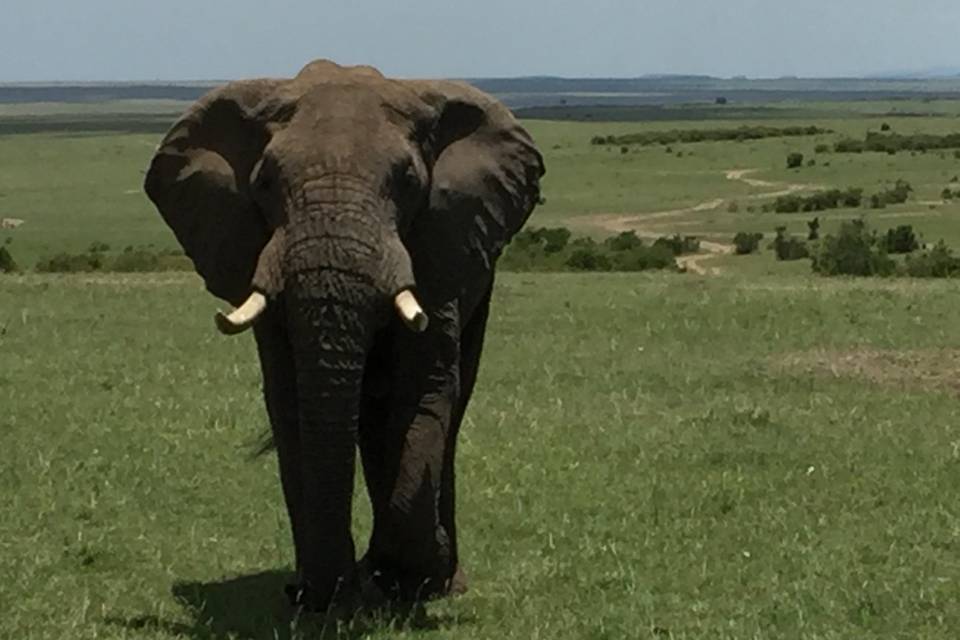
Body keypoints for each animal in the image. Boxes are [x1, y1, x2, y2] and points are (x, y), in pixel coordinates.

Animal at [144, 60, 548, 608]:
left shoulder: (441, 243)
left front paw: (415, 579)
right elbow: (292, 401)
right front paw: (323, 598)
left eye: (407, 181)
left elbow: (423, 392)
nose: (312, 591)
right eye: (264, 182)